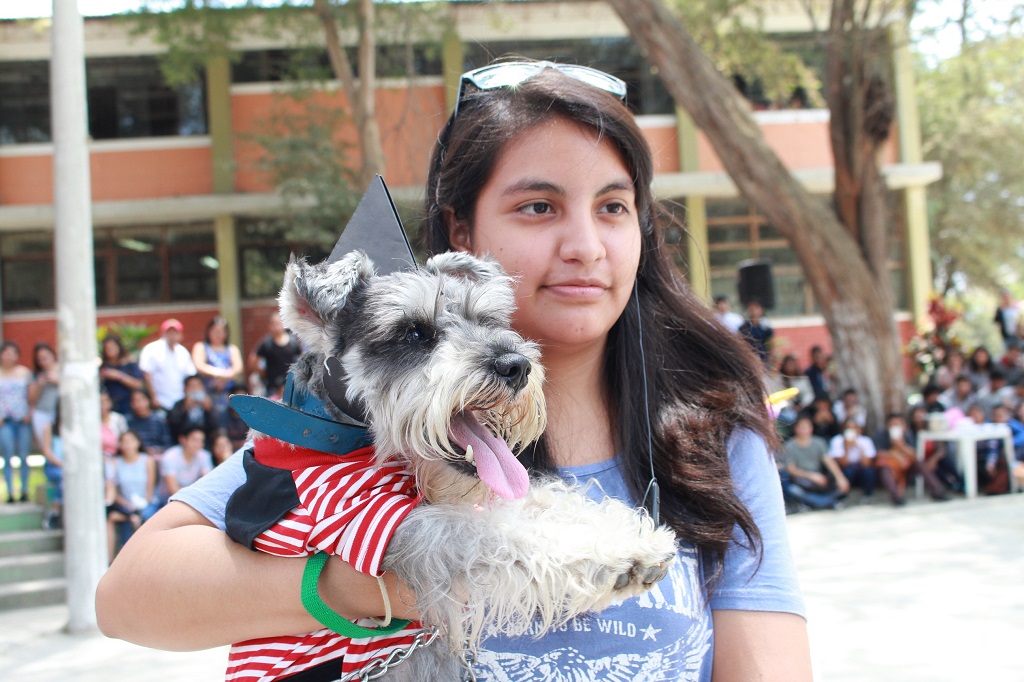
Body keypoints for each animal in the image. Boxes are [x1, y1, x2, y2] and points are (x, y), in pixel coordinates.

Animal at [222, 250, 679, 679]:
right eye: (413, 333)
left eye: (488, 320)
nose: (516, 365)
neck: (340, 432)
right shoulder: (376, 522)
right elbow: (499, 535)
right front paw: (616, 554)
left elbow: (544, 500)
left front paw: (634, 537)